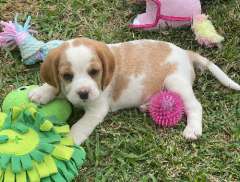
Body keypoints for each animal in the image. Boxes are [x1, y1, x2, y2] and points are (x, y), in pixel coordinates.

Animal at [28, 37, 240, 144]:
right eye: (67, 76)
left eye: (94, 72)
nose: (83, 94)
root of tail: (185, 52)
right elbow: (53, 86)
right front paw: (41, 93)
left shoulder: (97, 109)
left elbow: (81, 125)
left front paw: (70, 139)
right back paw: (146, 105)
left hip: (175, 82)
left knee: (195, 106)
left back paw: (193, 129)